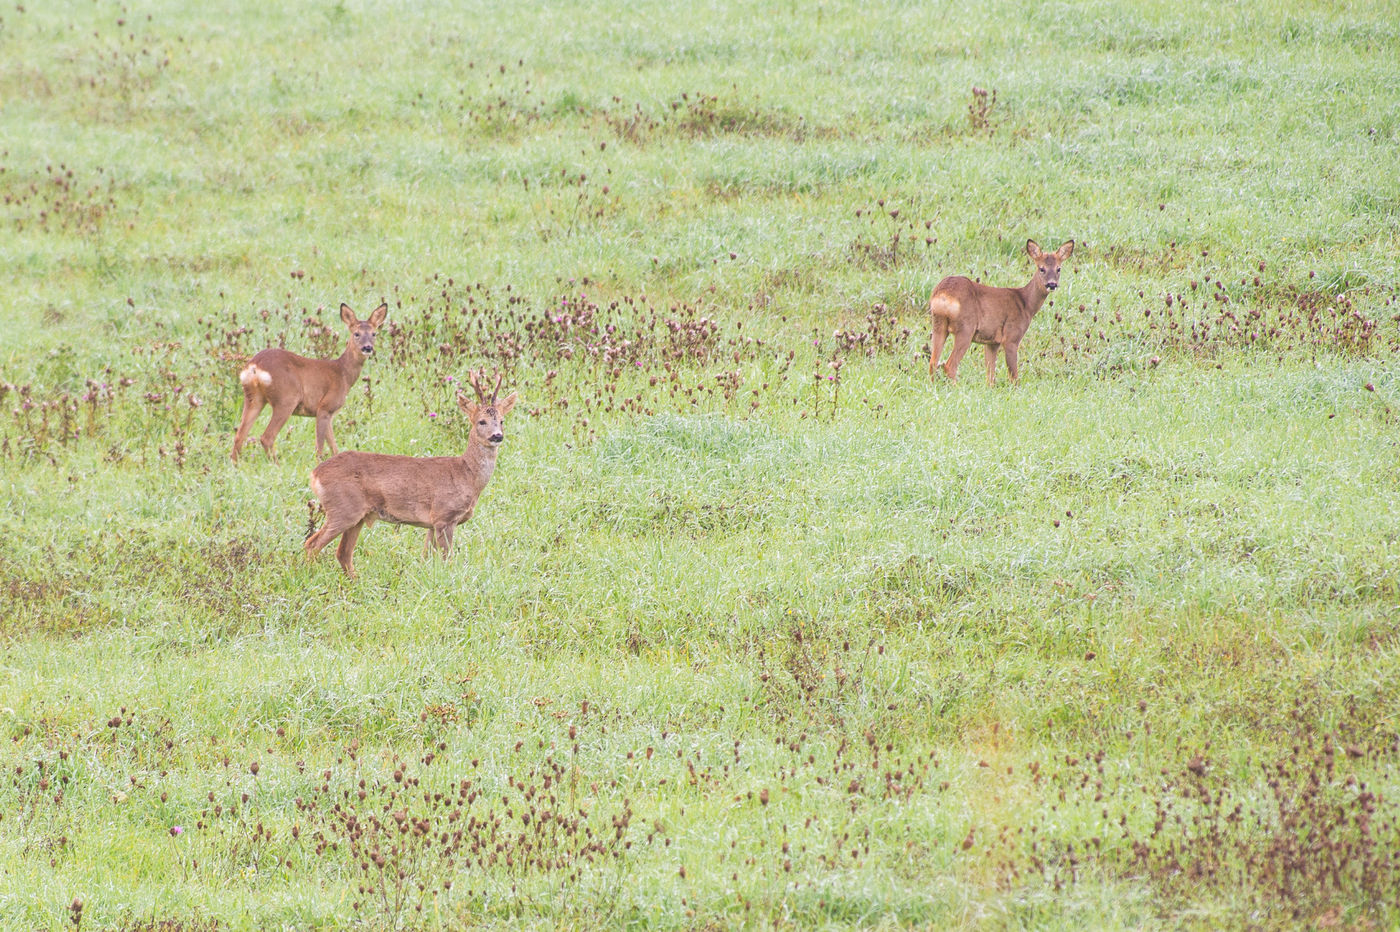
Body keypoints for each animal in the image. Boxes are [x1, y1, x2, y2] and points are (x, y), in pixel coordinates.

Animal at [232, 300, 389, 461]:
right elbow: (319, 447)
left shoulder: (330, 413)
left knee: (239, 436)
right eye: (356, 334)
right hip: (286, 399)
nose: (367, 347)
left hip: (253, 397)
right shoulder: (325, 406)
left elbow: (334, 447)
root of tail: (254, 367)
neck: (343, 373)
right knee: (266, 437)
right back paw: (276, 463)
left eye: (374, 333)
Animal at [303, 369, 518, 573]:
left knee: (343, 553)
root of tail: (315, 474)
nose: (497, 436)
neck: (467, 475)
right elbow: (446, 560)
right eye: (481, 421)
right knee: (312, 544)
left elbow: (426, 558)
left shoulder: (432, 523)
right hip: (343, 508)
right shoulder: (444, 515)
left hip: (357, 516)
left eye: (502, 420)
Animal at [929, 240, 1069, 386]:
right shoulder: (1011, 337)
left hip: (938, 324)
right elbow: (1014, 376)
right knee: (949, 365)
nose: (1052, 284)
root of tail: (944, 295)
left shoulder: (992, 342)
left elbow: (990, 376)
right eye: (1041, 268)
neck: (1025, 304)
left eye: (1058, 268)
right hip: (965, 328)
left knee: (933, 362)